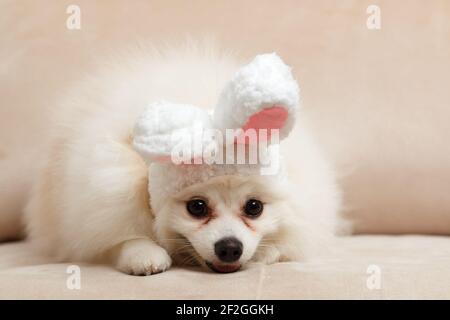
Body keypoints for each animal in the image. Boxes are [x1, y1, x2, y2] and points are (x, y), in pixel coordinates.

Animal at [23, 44, 342, 276]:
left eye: (254, 207)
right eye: (196, 207)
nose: (230, 247)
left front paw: (265, 252)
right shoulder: (95, 204)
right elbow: (120, 235)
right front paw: (144, 254)